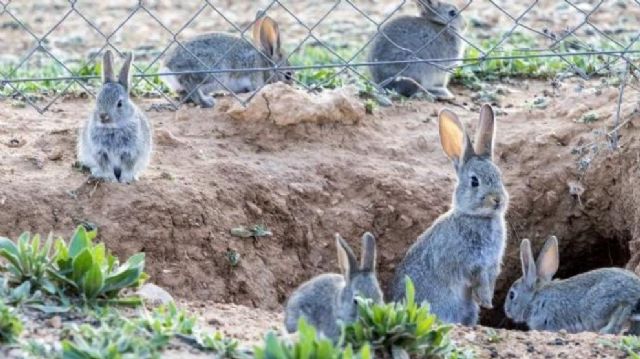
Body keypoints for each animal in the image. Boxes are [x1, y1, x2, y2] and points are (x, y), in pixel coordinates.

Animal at [77, 49, 152, 184]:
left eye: (119, 104)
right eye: (98, 100)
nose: (103, 116)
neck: (113, 128)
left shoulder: (131, 152)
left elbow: (128, 167)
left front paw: (125, 180)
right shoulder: (100, 152)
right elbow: (106, 167)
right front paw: (110, 179)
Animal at [161, 14, 294, 109]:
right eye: (288, 75)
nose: (292, 86)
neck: (266, 64)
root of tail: (168, 67)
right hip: (216, 74)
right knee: (189, 83)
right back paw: (207, 102)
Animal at [390, 105, 510, 326]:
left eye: (499, 176)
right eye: (474, 181)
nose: (497, 200)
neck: (479, 217)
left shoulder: (491, 265)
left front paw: (487, 302)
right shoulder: (468, 263)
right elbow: (477, 278)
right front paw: (485, 300)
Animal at [504, 238, 640, 336]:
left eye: (512, 295)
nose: (507, 311)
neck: (534, 299)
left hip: (601, 303)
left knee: (622, 309)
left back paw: (605, 331)